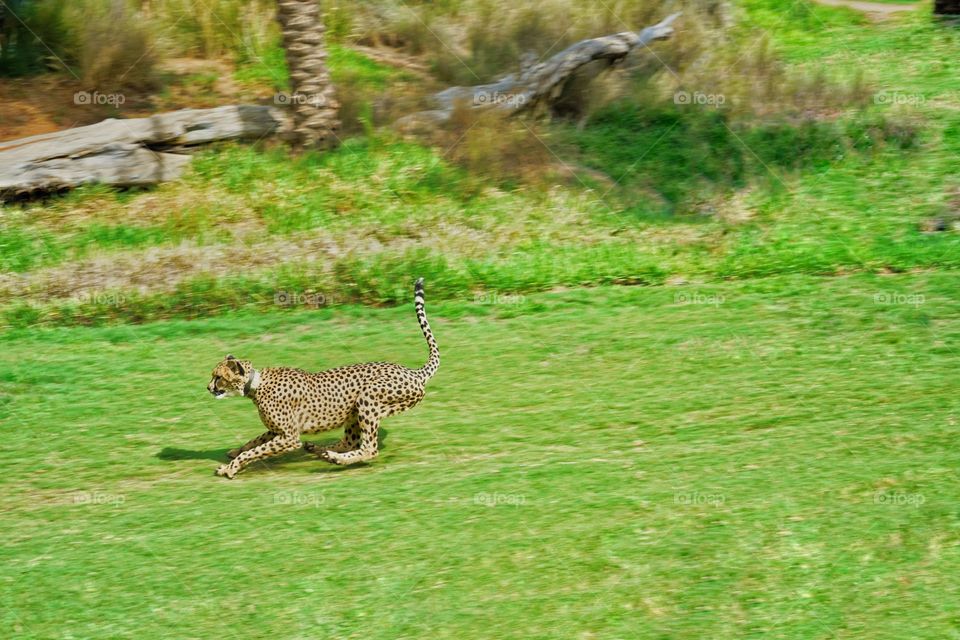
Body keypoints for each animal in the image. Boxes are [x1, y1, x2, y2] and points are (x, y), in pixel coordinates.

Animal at [207, 277, 439, 479]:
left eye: (218, 377)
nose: (208, 388)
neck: (256, 384)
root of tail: (411, 371)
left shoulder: (289, 437)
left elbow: (254, 451)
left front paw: (230, 468)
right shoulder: (276, 431)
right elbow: (254, 441)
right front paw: (235, 452)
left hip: (368, 398)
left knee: (369, 448)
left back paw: (332, 457)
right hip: (354, 412)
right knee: (350, 442)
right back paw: (320, 451)